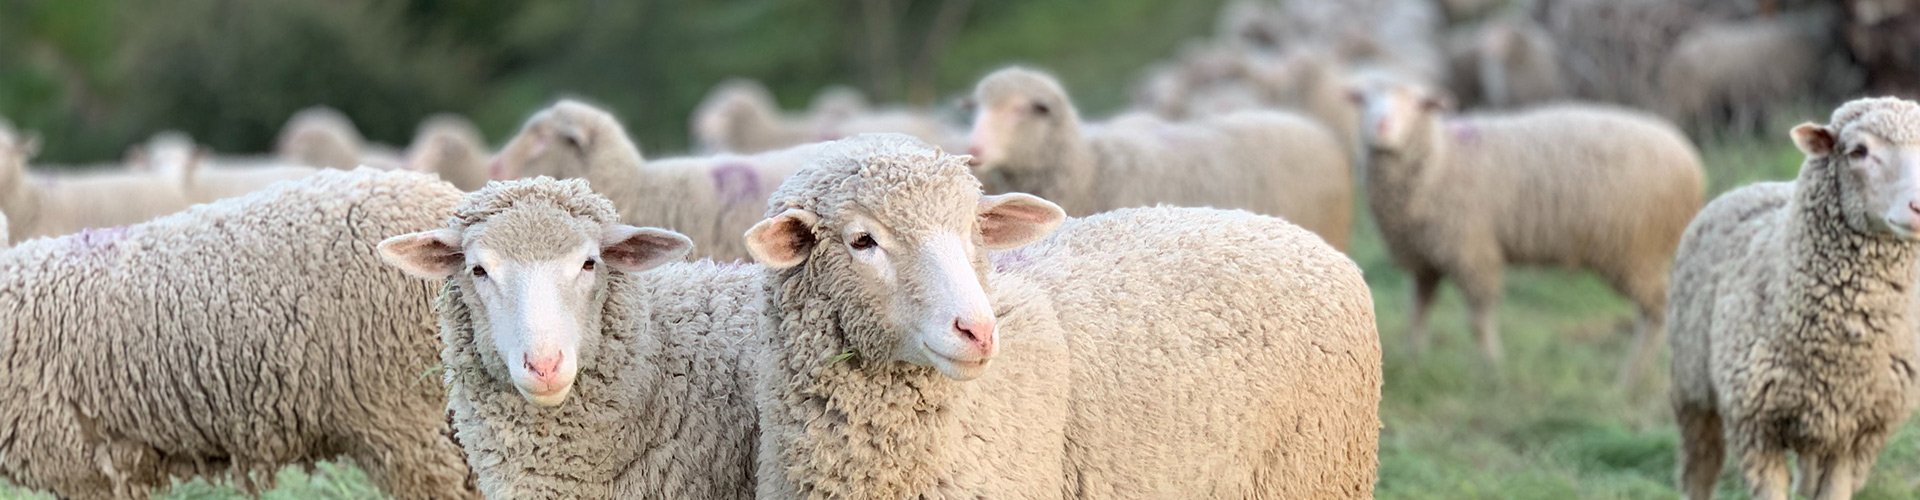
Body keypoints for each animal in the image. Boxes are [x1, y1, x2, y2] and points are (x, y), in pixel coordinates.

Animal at [1350, 80, 1705, 378]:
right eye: (1365, 100)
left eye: (1417, 103)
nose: (1381, 126)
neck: (1440, 159)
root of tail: (1690, 160)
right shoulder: (1425, 259)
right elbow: (1418, 311)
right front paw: (1415, 360)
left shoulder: (1472, 250)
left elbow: (1479, 319)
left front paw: (1492, 367)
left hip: (1635, 250)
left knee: (1657, 311)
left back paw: (1631, 377)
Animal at [1669, 97, 1920, 500]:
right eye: (1858, 151)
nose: (1918, 207)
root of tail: (1755, 185)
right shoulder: (1755, 427)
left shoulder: (1855, 433)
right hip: (1692, 388)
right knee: (1699, 470)